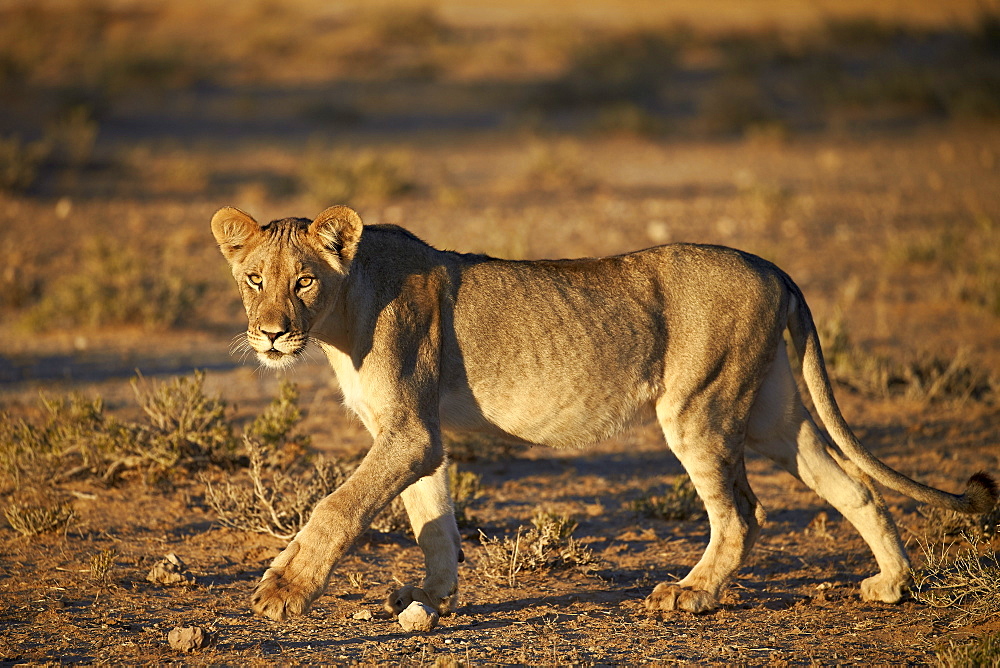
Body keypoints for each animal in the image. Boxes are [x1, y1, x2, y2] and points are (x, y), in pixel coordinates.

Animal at [209, 206, 992, 624]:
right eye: (253, 279)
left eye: (303, 281)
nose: (271, 334)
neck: (341, 318)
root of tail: (773, 267)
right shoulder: (415, 436)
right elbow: (432, 520)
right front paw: (430, 600)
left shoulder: (407, 433)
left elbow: (337, 507)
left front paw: (282, 592)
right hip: (771, 415)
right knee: (851, 484)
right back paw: (892, 584)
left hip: (698, 406)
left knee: (741, 512)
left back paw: (691, 594)